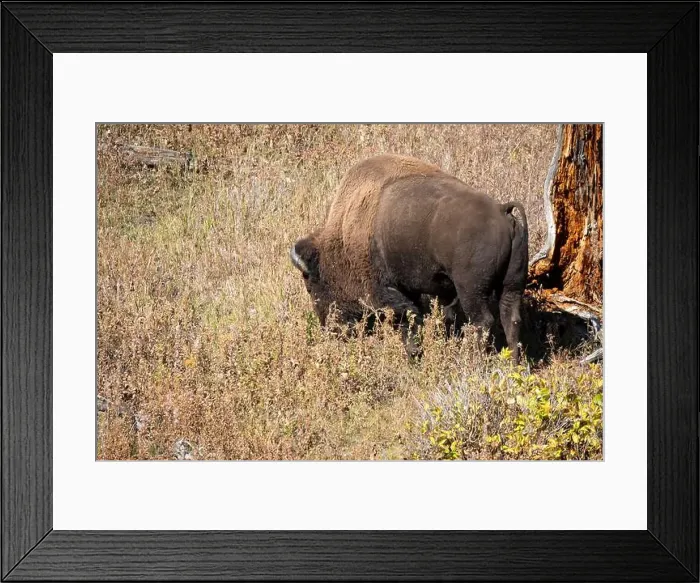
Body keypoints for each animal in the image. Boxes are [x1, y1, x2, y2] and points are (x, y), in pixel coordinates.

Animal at [290, 154, 529, 362]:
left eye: (310, 286)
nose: (329, 328)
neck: (344, 237)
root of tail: (502, 211)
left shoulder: (386, 291)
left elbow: (408, 317)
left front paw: (414, 353)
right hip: (512, 285)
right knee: (511, 318)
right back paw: (513, 363)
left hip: (472, 291)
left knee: (483, 321)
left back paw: (473, 360)